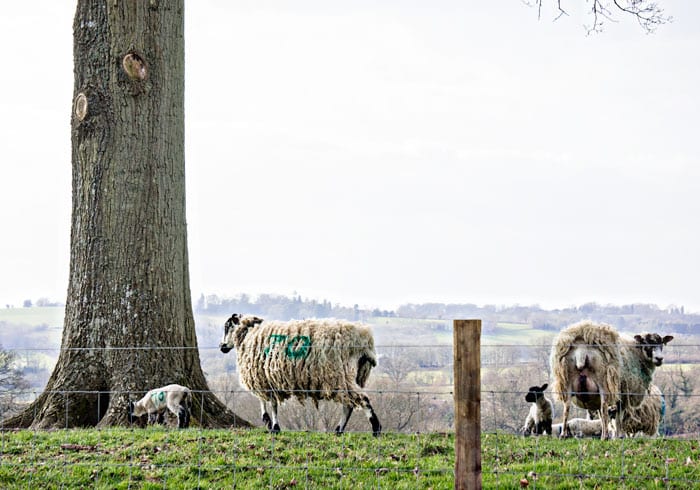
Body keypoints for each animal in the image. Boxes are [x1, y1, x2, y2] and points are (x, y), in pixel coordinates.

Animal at [220, 314, 380, 436]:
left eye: (228, 326)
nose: (222, 347)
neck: (248, 335)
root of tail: (365, 340)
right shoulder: (267, 378)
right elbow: (267, 401)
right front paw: (268, 422)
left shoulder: (265, 377)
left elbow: (271, 403)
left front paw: (273, 425)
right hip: (357, 375)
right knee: (349, 404)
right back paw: (339, 430)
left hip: (340, 375)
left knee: (361, 400)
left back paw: (376, 428)